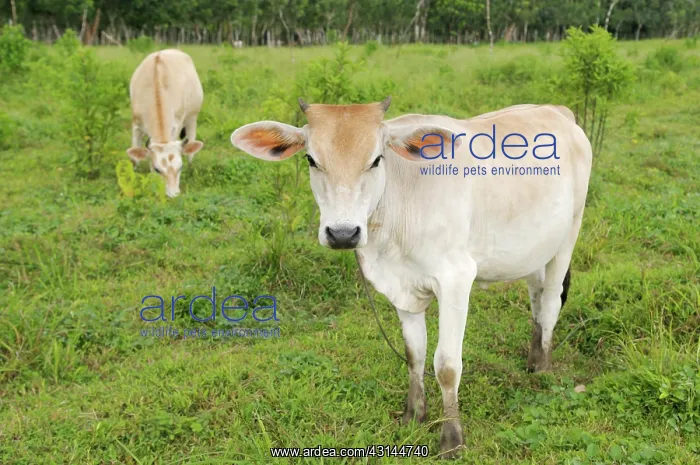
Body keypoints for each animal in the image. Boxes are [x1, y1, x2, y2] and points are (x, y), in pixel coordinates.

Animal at [127, 49, 204, 198]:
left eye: (180, 167)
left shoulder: (177, 124)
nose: (173, 195)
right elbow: (134, 158)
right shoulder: (136, 125)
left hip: (192, 117)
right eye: (157, 169)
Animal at [230, 99, 592, 458]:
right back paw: (532, 358)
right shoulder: (400, 286)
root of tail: (556, 109)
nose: (343, 233)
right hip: (535, 248)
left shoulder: (456, 278)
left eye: (377, 159)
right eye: (311, 159)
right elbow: (414, 353)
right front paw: (414, 415)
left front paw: (451, 439)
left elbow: (446, 365)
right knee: (536, 295)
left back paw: (542, 366)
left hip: (568, 236)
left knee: (550, 302)